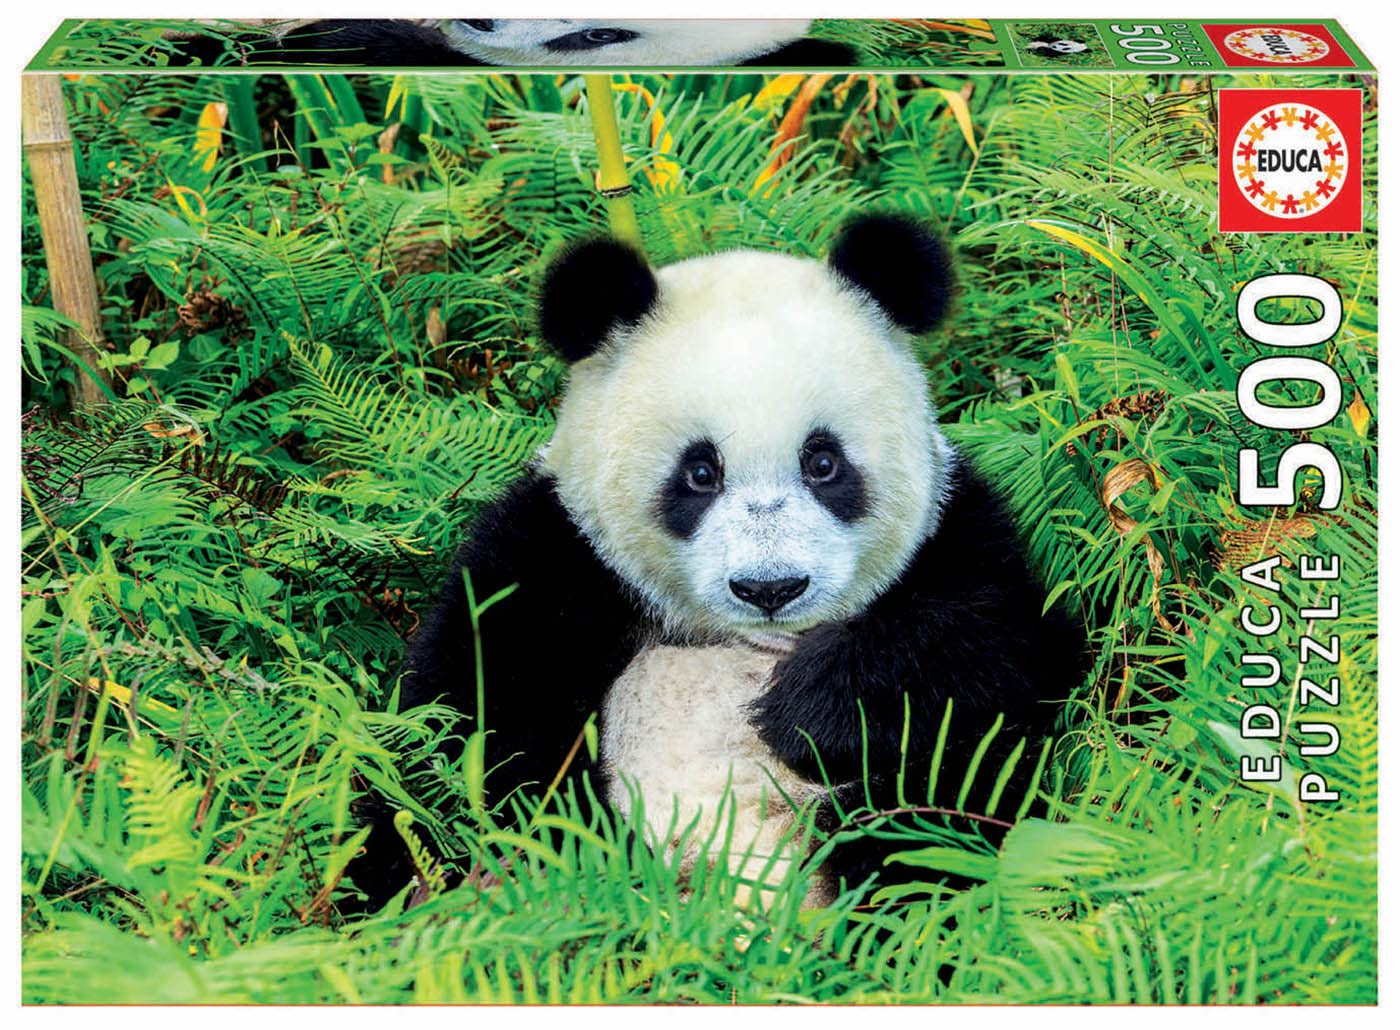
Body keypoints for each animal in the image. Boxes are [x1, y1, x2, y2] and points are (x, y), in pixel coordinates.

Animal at [355, 215, 1087, 910]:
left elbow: (1003, 649)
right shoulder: (558, 552)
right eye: (700, 473)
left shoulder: (956, 532)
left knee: (932, 817)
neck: (738, 636)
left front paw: (807, 707)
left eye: (824, 463)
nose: (771, 588)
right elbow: (461, 725)